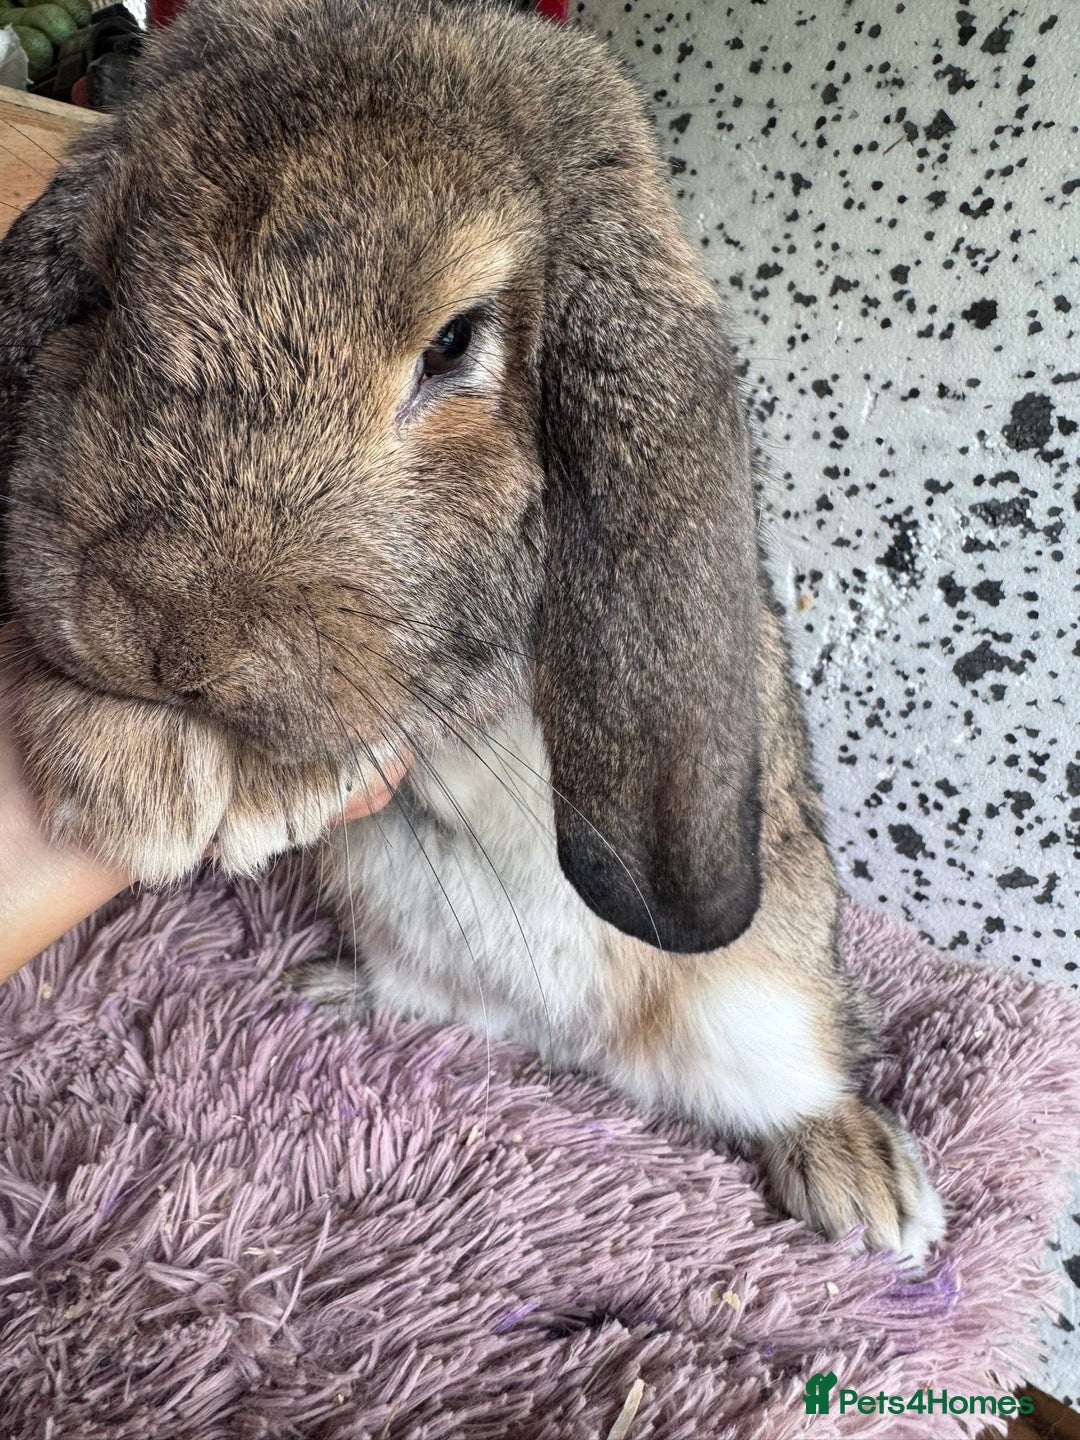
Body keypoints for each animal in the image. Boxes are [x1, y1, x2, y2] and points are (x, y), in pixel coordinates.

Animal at [0, 0, 944, 1261]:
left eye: (453, 343)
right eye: (98, 290)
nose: (160, 638)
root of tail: (559, 1036)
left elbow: (425, 684)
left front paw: (169, 783)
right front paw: (116, 758)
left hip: (765, 1004)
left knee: (803, 1076)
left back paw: (863, 1185)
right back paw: (334, 995)